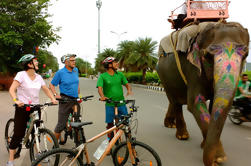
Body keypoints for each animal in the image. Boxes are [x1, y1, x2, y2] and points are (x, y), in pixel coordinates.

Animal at [157, 21, 249, 165]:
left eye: (246, 55)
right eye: (207, 56)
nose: (212, 162)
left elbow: (213, 108)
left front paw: (205, 147)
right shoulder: (193, 69)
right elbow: (195, 103)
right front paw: (219, 157)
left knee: (174, 101)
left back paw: (170, 124)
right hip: (164, 76)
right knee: (175, 101)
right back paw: (182, 135)